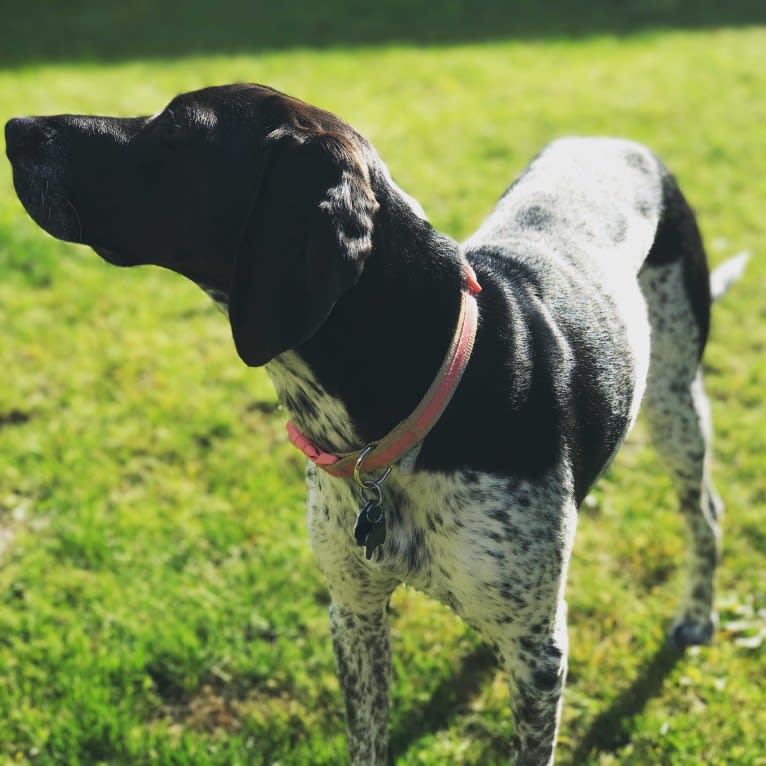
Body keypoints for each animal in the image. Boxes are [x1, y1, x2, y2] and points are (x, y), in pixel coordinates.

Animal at [4, 84, 752, 760]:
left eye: (176, 132)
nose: (17, 127)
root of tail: (618, 142)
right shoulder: (354, 613)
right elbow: (368, 738)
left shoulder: (537, 662)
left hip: (675, 402)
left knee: (703, 512)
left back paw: (695, 617)